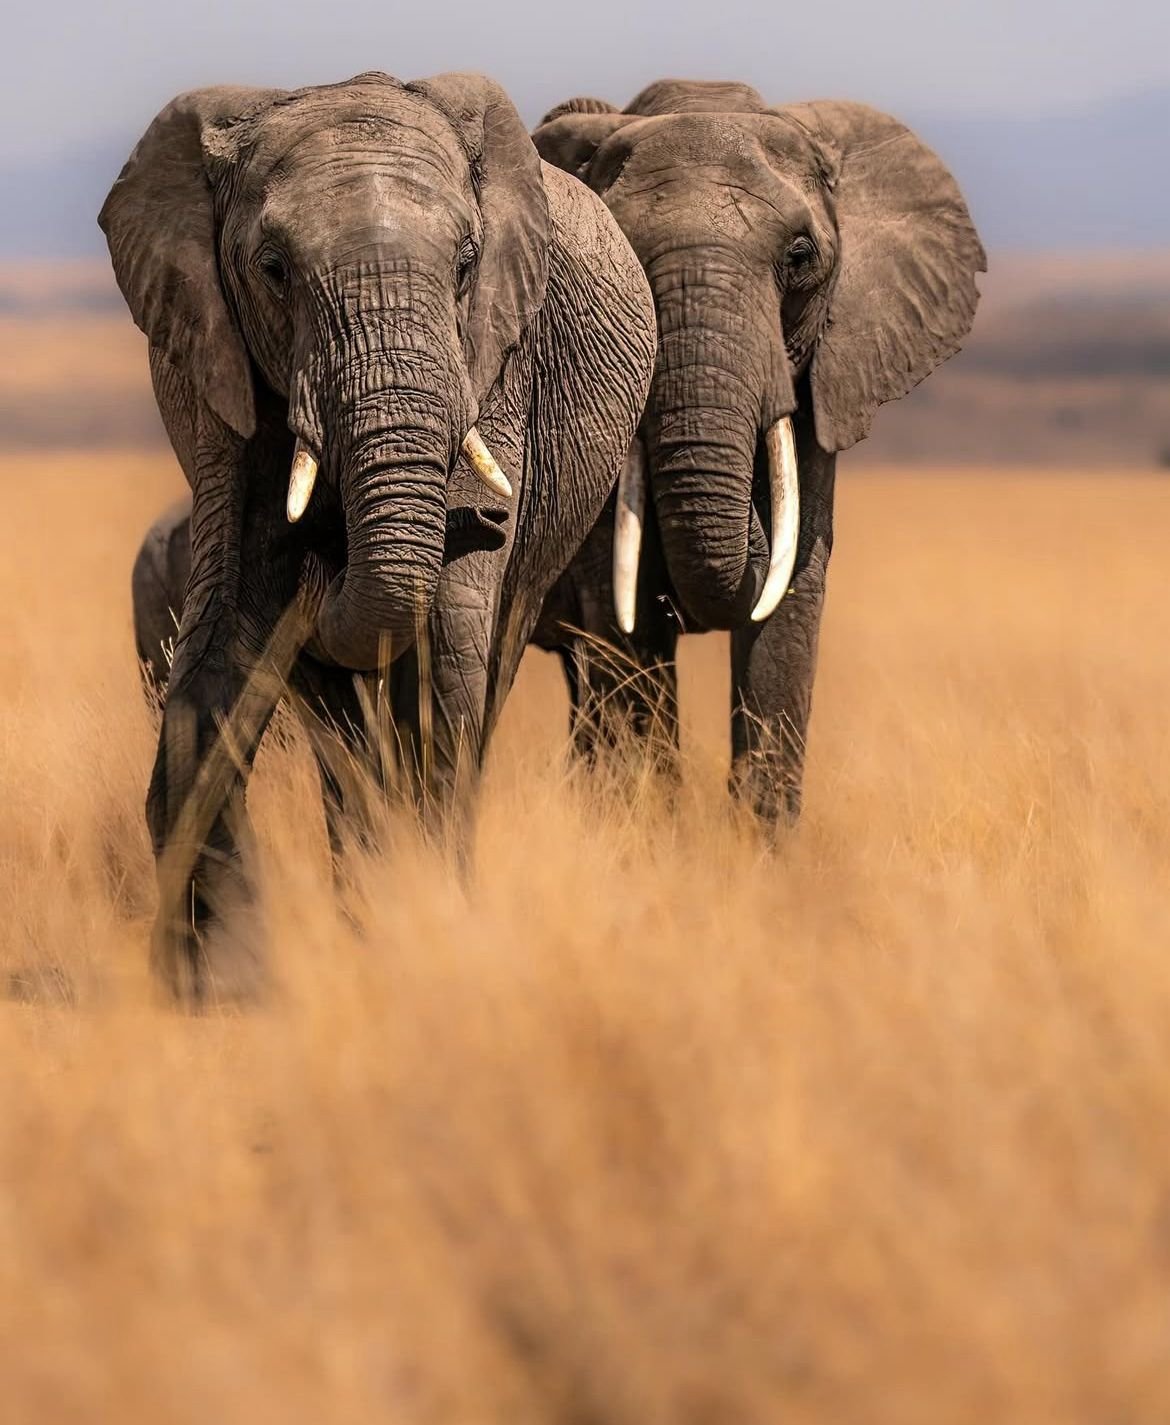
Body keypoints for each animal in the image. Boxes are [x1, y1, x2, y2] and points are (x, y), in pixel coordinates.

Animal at [103, 71, 656, 995]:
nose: (326, 557)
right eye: (273, 270)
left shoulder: (497, 360)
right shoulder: (213, 371)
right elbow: (225, 621)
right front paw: (219, 986)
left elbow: (446, 642)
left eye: (466, 265)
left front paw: (429, 942)